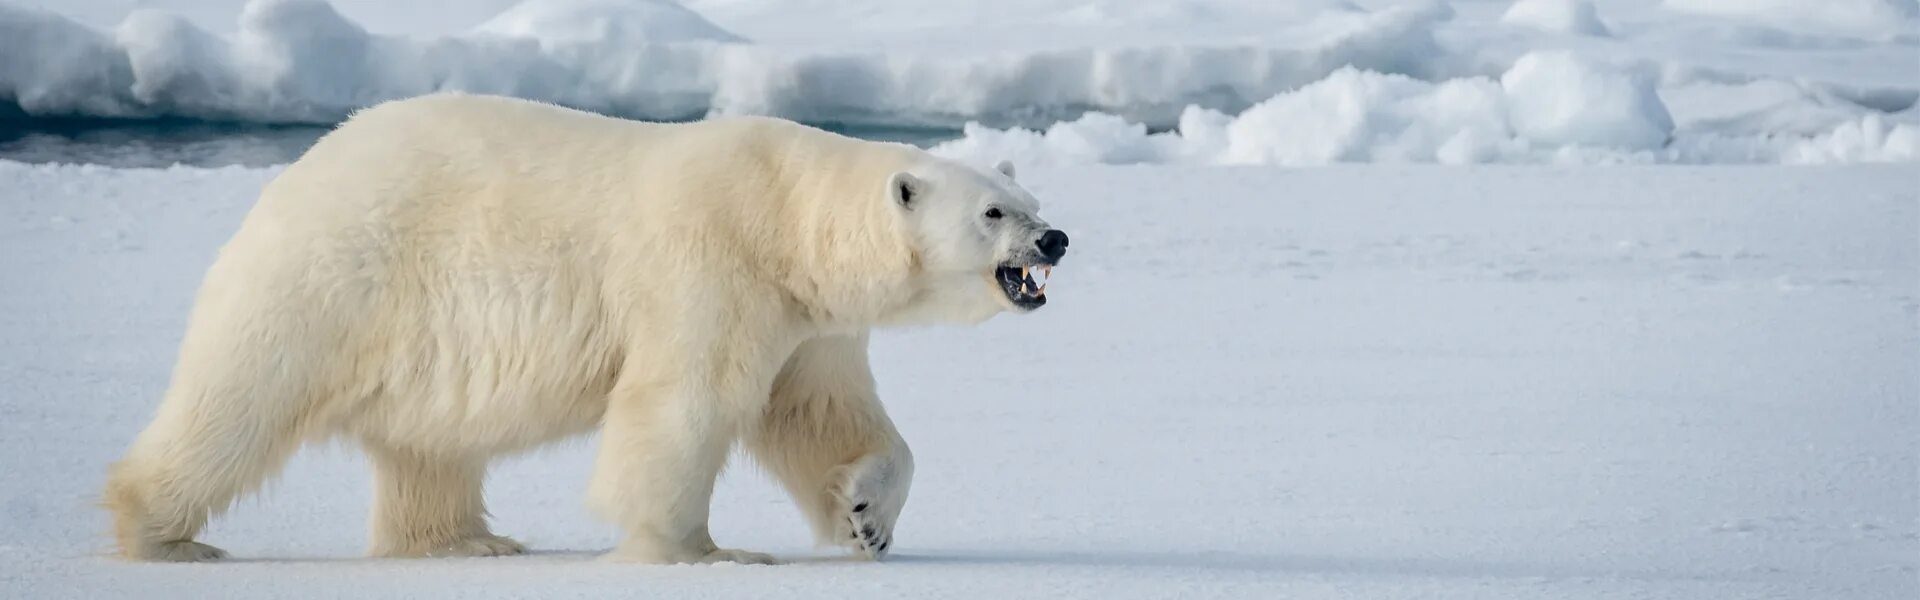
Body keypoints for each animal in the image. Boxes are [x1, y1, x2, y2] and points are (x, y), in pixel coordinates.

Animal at [101, 92, 1067, 561]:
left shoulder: (807, 321)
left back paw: (467, 542)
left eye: (1030, 198)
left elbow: (821, 412)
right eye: (993, 212)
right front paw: (697, 552)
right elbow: (685, 402)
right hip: (337, 279)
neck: (784, 217)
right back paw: (164, 538)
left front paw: (869, 517)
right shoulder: (711, 263)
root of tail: (296, 173)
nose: (1056, 238)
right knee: (239, 400)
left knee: (428, 443)